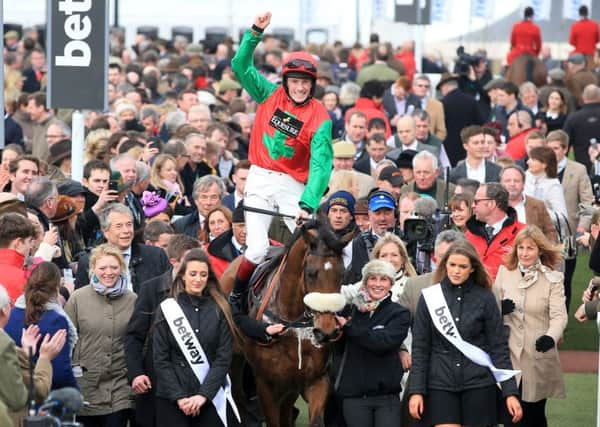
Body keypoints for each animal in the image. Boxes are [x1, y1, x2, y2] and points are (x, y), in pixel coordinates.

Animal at [220, 221, 352, 427]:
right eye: (311, 273)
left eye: (342, 274)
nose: (327, 331)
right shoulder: (266, 385)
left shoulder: (315, 379)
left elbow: (316, 420)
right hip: (235, 357)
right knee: (238, 395)